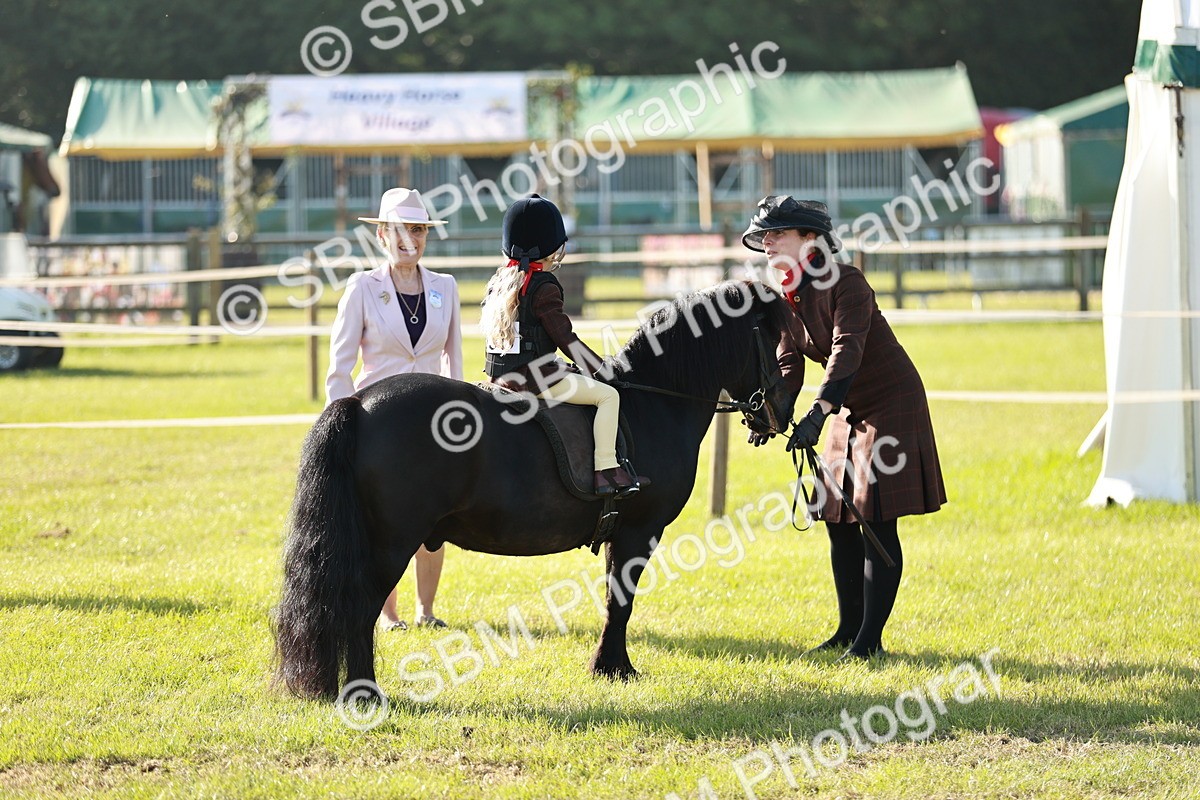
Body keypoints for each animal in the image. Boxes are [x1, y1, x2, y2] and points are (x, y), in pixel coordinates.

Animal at [274, 281, 799, 700]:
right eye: (771, 338)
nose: (780, 411)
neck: (653, 402)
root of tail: (359, 404)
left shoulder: (621, 533)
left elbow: (613, 598)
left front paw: (609, 667)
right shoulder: (640, 530)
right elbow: (621, 600)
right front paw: (614, 668)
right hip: (389, 545)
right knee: (359, 612)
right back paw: (364, 694)